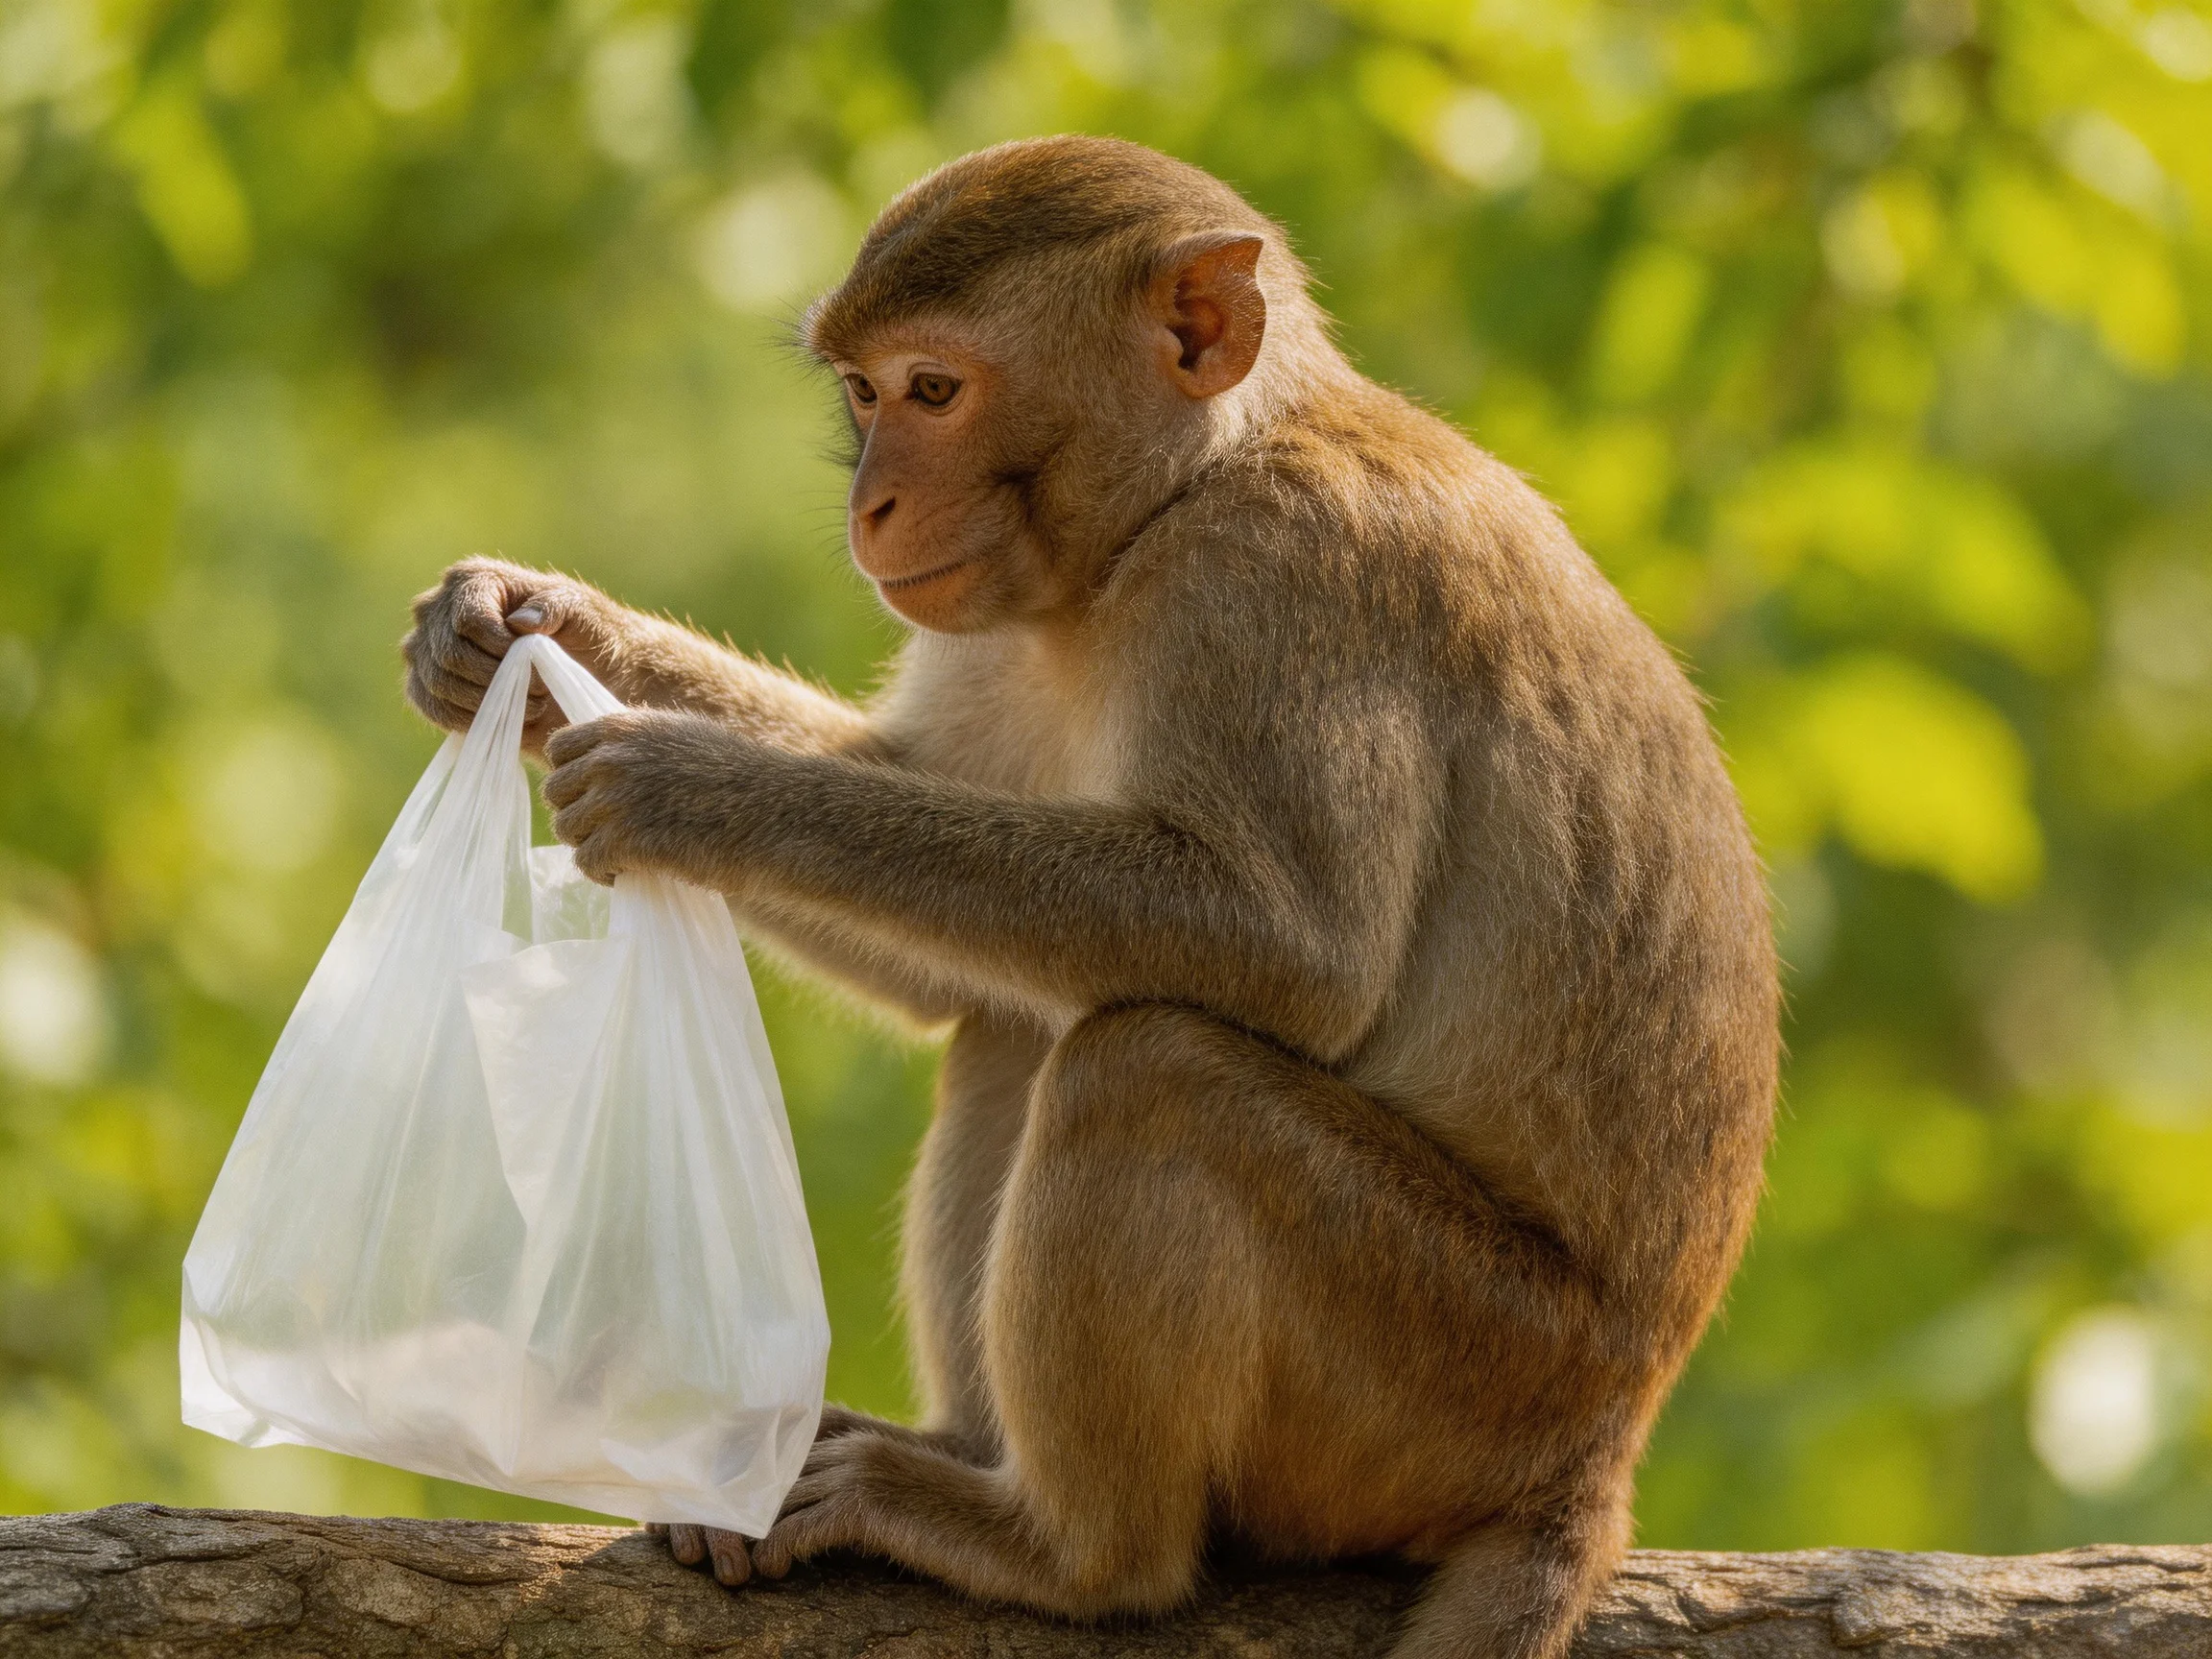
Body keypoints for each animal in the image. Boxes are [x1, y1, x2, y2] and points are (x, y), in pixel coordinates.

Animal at [401, 135, 1778, 1659]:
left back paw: (1068, 1553)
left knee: (1146, 1067)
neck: (1186, 490)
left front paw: (691, 789)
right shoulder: (1004, 615)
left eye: (936, 391)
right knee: (1014, 1028)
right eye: (864, 394)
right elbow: (945, 964)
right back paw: (959, 1457)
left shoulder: (1276, 577)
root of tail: (1598, 1447)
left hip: (1459, 1367)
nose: (871, 505)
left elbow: (1292, 953)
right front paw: (530, 637)